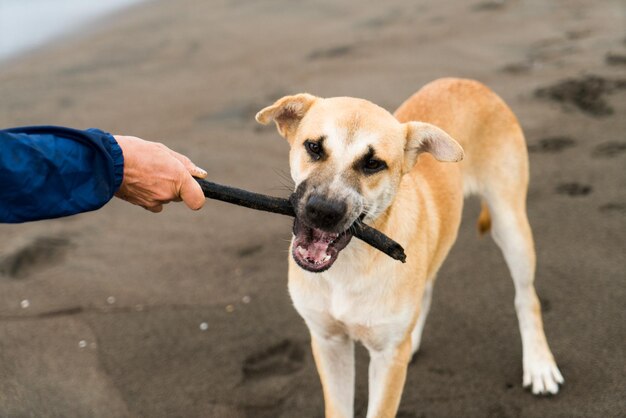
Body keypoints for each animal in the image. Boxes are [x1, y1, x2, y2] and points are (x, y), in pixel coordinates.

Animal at [256, 79, 564, 418]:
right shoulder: (328, 342)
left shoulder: (388, 358)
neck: (350, 264)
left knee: (526, 298)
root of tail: (470, 82)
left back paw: (539, 364)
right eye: (313, 147)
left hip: (510, 222)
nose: (323, 211)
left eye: (373, 164)